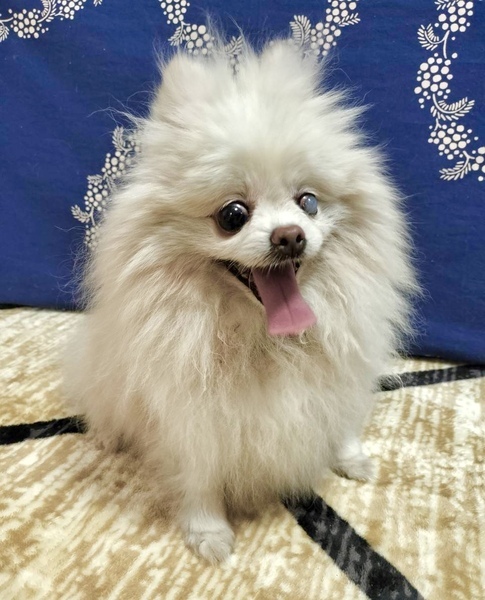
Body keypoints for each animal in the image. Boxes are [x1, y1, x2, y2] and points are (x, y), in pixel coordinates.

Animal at [65, 38, 415, 563]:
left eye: (308, 202)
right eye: (233, 215)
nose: (290, 236)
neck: (265, 339)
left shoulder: (338, 377)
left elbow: (339, 422)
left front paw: (349, 458)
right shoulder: (190, 418)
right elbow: (199, 476)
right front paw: (208, 532)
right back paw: (108, 436)